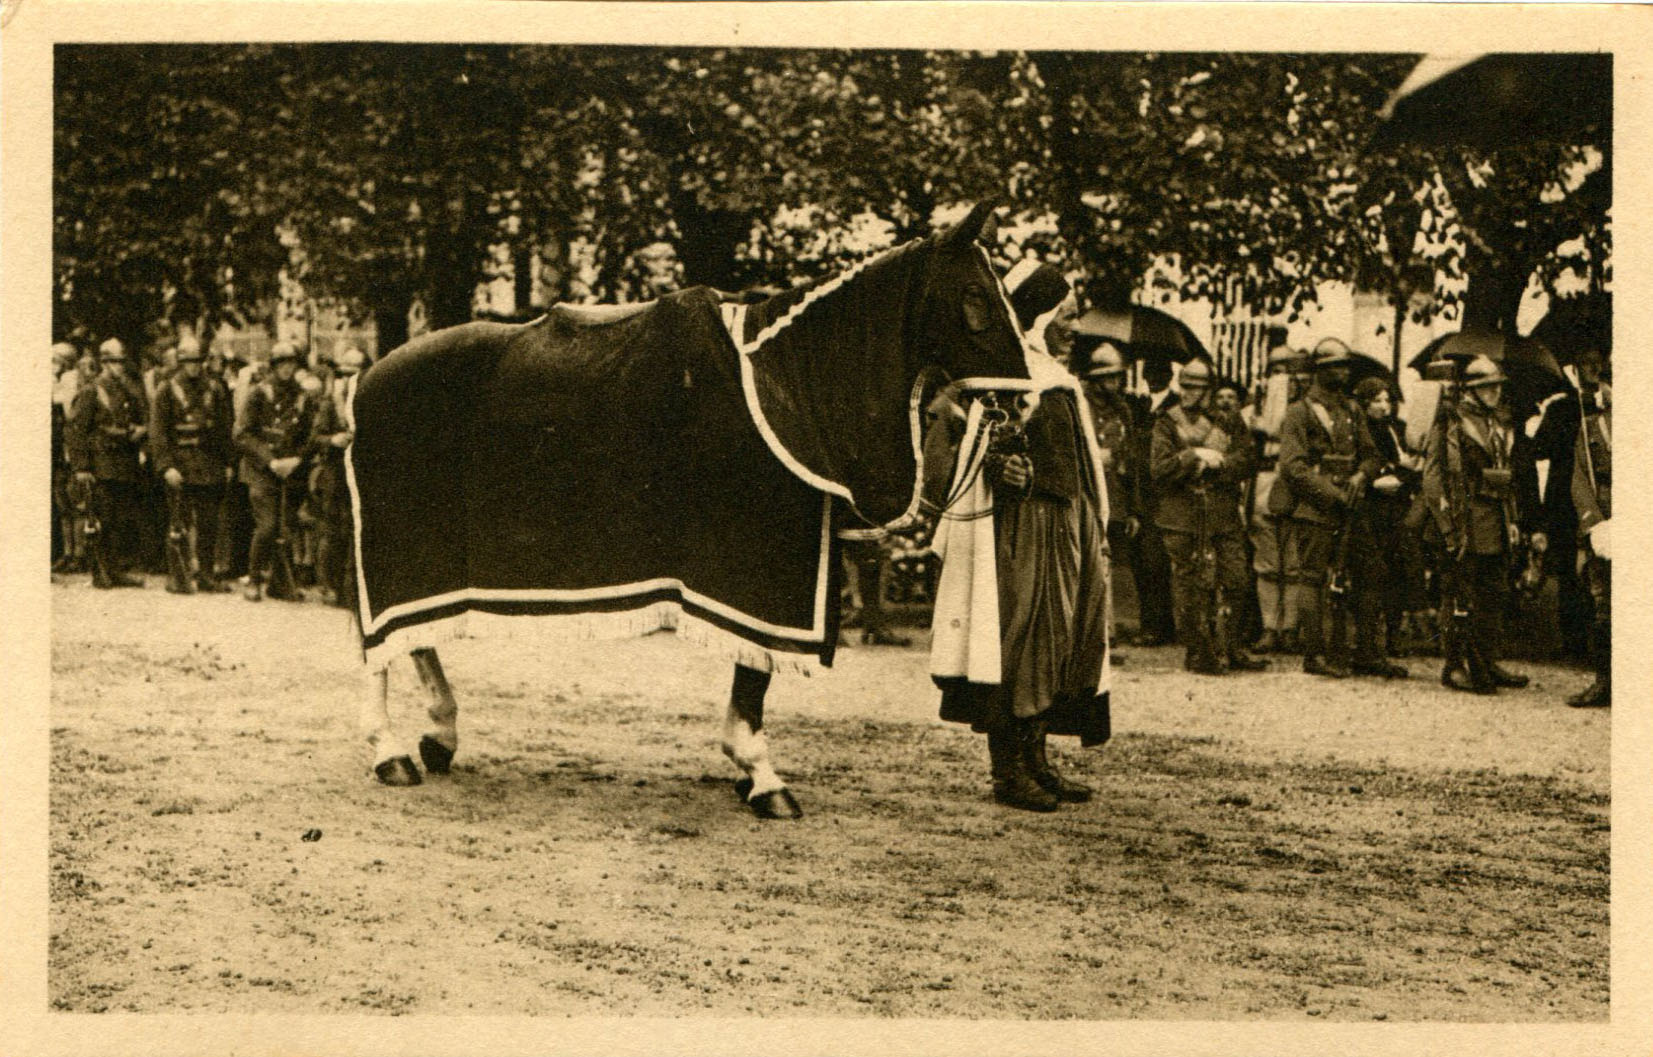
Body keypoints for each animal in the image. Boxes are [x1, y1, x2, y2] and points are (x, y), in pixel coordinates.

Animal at [342, 205, 1024, 820]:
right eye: (975, 296)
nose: (1019, 407)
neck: (789, 380)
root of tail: (367, 381)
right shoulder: (765, 565)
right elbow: (754, 674)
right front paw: (761, 774)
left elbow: (753, 671)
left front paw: (746, 769)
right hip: (393, 544)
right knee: (376, 644)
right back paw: (389, 750)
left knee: (417, 639)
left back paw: (440, 733)